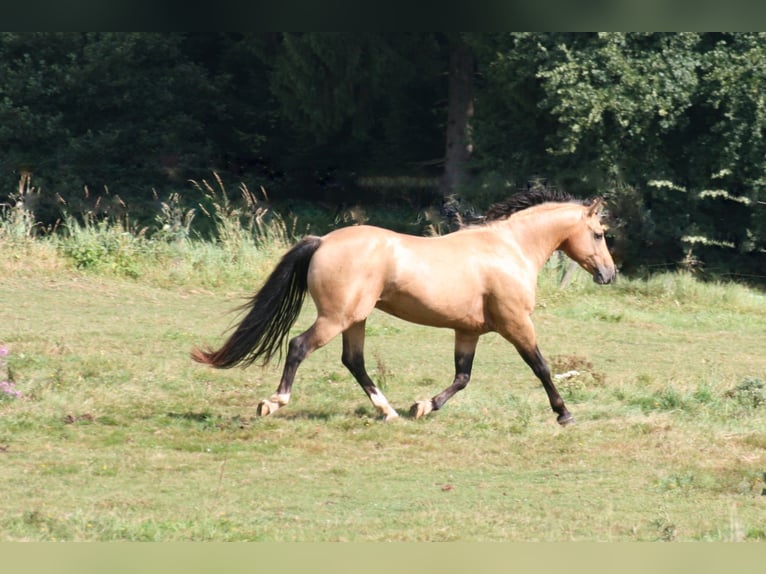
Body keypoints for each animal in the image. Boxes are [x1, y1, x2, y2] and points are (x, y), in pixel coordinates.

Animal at [192, 189, 616, 428]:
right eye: (598, 234)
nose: (609, 274)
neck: (509, 249)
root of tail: (323, 240)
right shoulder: (516, 324)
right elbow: (541, 366)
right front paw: (565, 414)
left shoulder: (468, 331)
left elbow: (462, 377)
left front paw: (423, 406)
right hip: (336, 318)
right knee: (299, 346)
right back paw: (274, 402)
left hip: (356, 319)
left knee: (353, 361)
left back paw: (388, 411)